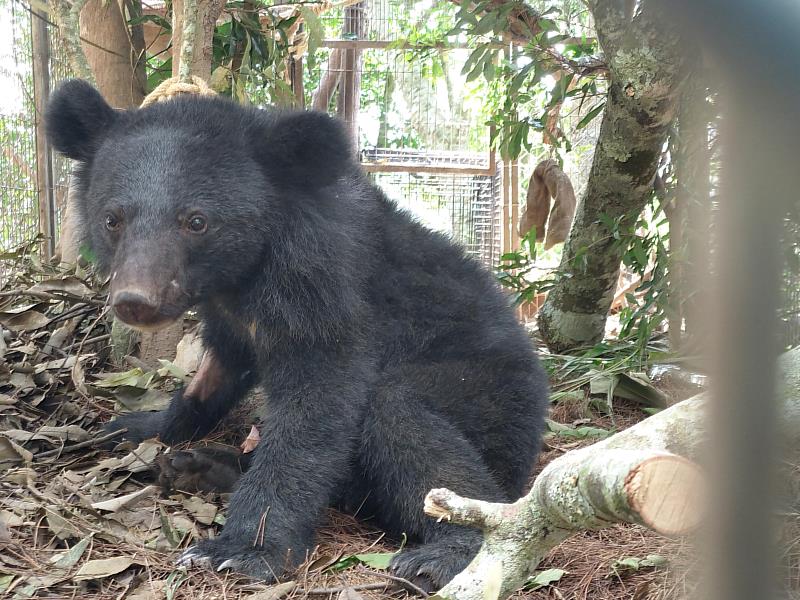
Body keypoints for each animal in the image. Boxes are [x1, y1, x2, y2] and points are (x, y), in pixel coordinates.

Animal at [45, 79, 549, 591]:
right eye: (113, 219)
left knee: (405, 419)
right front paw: (134, 426)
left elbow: (317, 403)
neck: (242, 276)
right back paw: (200, 466)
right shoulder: (230, 316)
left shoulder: (325, 285)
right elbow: (218, 370)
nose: (135, 301)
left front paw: (241, 550)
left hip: (491, 397)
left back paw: (442, 555)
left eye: (197, 221)